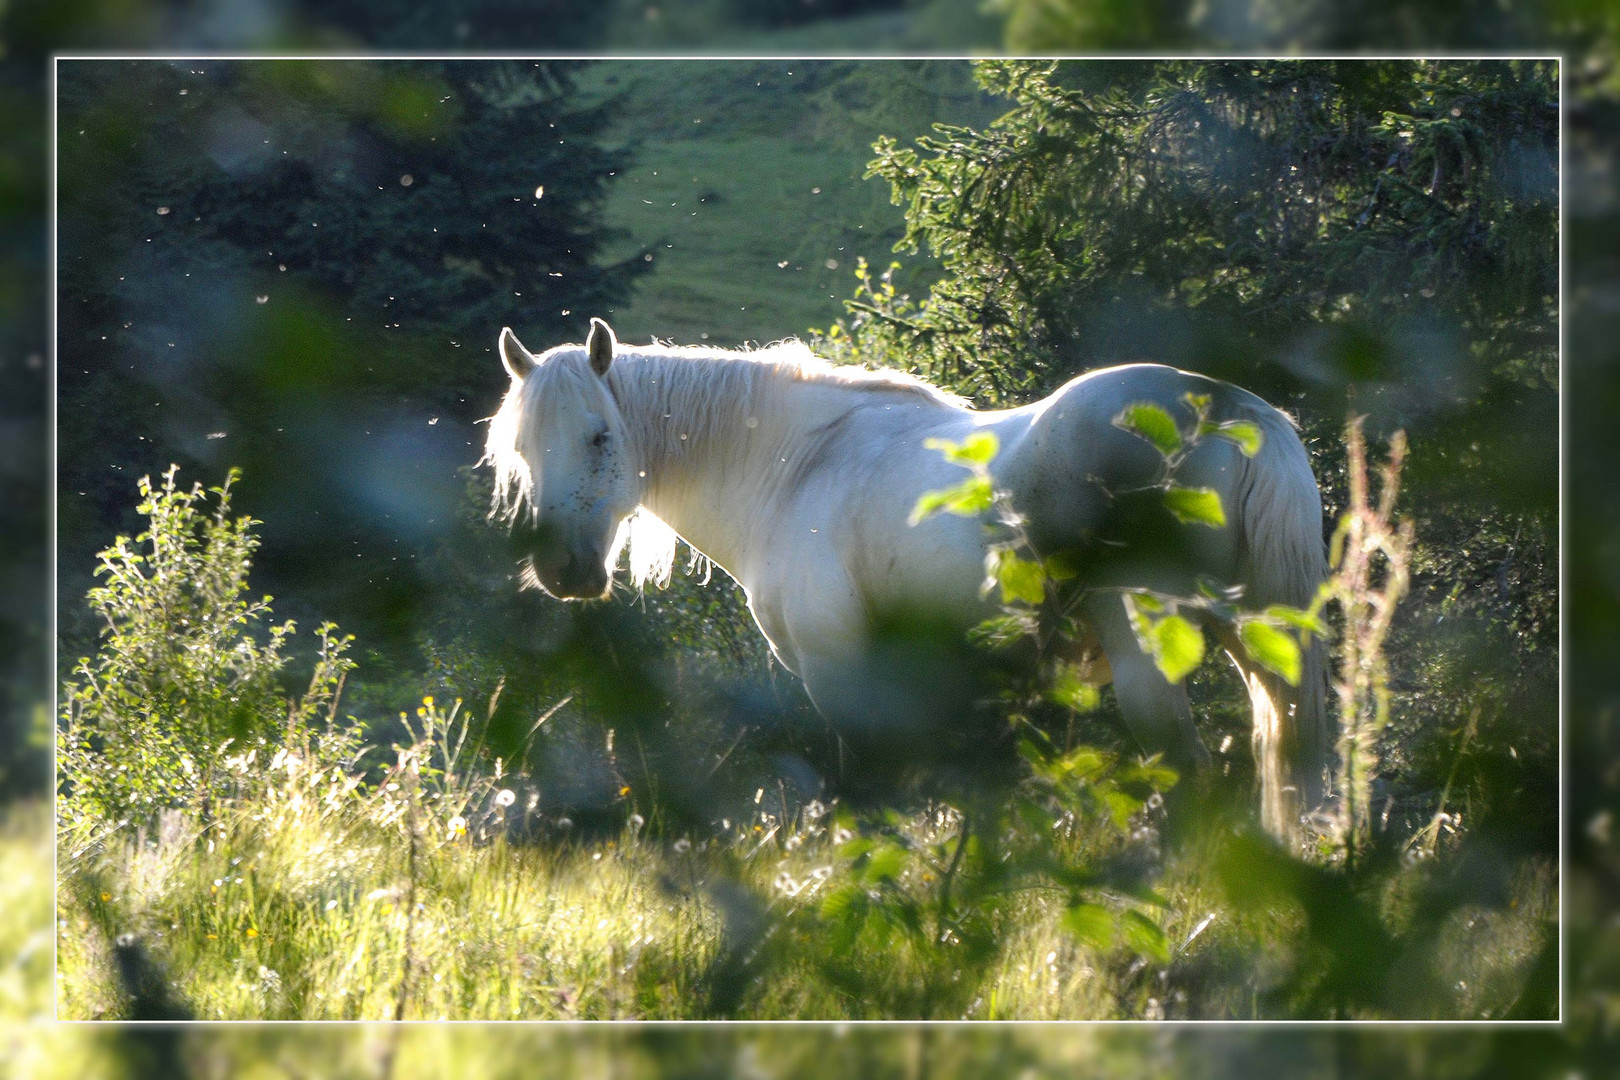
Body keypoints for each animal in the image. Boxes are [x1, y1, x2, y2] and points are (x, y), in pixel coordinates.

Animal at [479, 317, 1328, 835]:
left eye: (598, 437)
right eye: (520, 451)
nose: (564, 570)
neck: (793, 466)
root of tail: (1231, 408)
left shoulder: (842, 674)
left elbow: (872, 795)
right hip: (1259, 647)